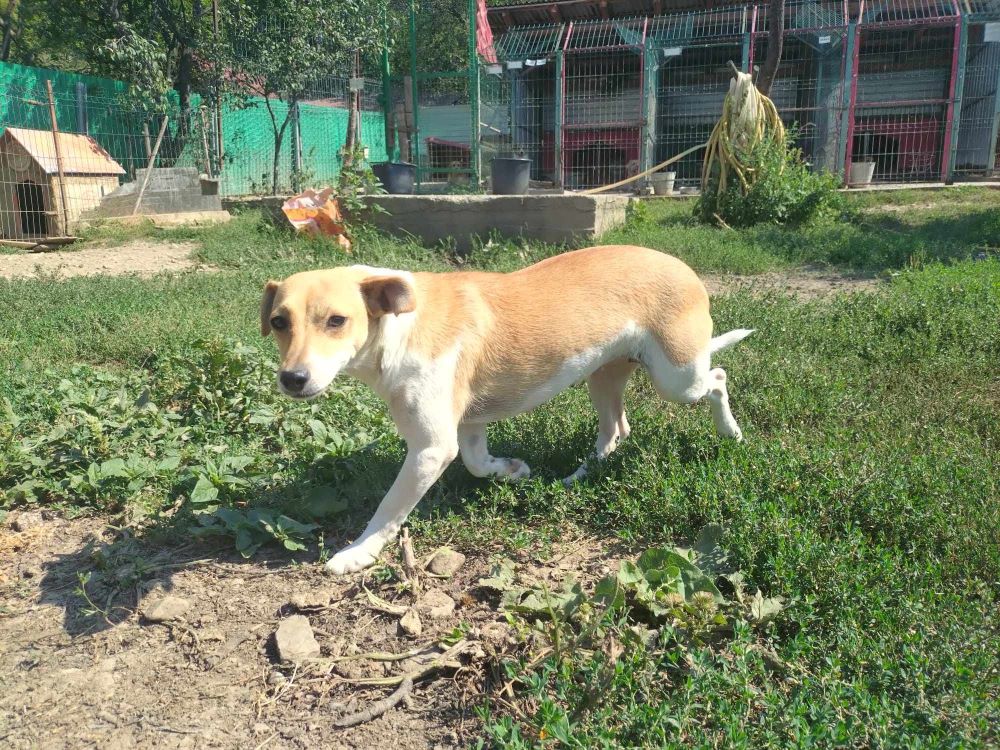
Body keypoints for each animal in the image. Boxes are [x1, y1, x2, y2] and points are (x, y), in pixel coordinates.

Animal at [260, 247, 752, 576]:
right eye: (279, 322)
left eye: (337, 321)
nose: (292, 379)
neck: (401, 326)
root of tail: (684, 267)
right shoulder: (468, 427)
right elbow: (478, 464)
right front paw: (513, 471)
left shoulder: (430, 448)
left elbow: (389, 507)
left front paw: (357, 552)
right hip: (603, 375)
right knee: (616, 429)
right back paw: (579, 475)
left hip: (678, 378)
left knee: (718, 377)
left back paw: (731, 432)